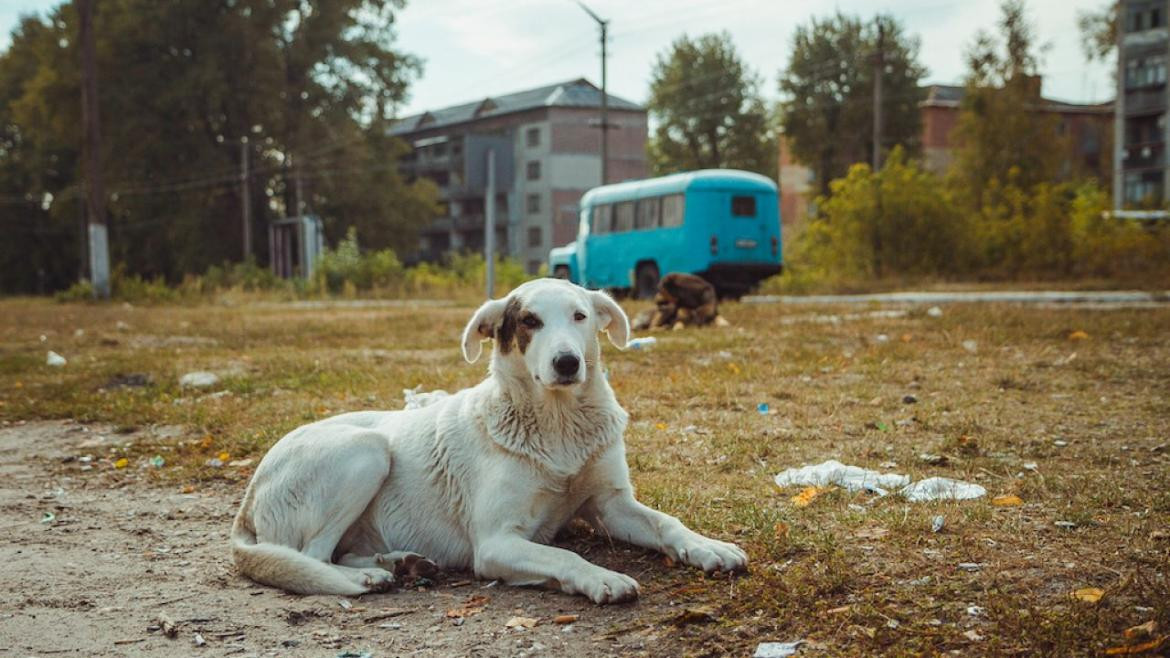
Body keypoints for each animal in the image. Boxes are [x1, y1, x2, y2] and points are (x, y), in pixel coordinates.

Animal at [230, 275, 748, 599]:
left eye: (580, 316)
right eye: (529, 321)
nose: (567, 363)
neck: (557, 424)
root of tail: (248, 497)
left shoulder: (611, 504)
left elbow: (667, 524)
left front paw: (709, 546)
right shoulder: (497, 543)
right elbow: (563, 555)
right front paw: (601, 577)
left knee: (342, 551)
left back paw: (400, 563)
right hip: (366, 451)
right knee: (310, 555)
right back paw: (368, 580)